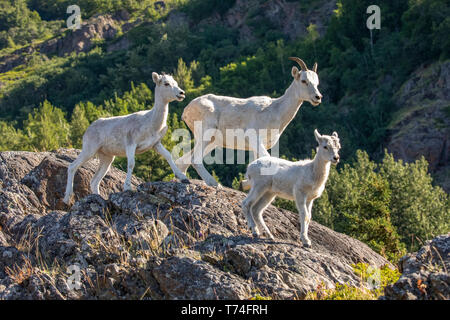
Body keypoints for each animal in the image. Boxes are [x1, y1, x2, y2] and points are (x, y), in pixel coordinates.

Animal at [63, 72, 188, 204]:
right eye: (166, 83)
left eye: (175, 83)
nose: (181, 93)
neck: (150, 122)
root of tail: (88, 129)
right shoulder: (131, 144)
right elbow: (131, 164)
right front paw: (127, 187)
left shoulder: (156, 144)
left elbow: (168, 156)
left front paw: (183, 178)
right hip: (89, 150)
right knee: (72, 167)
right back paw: (66, 199)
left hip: (107, 158)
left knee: (94, 181)